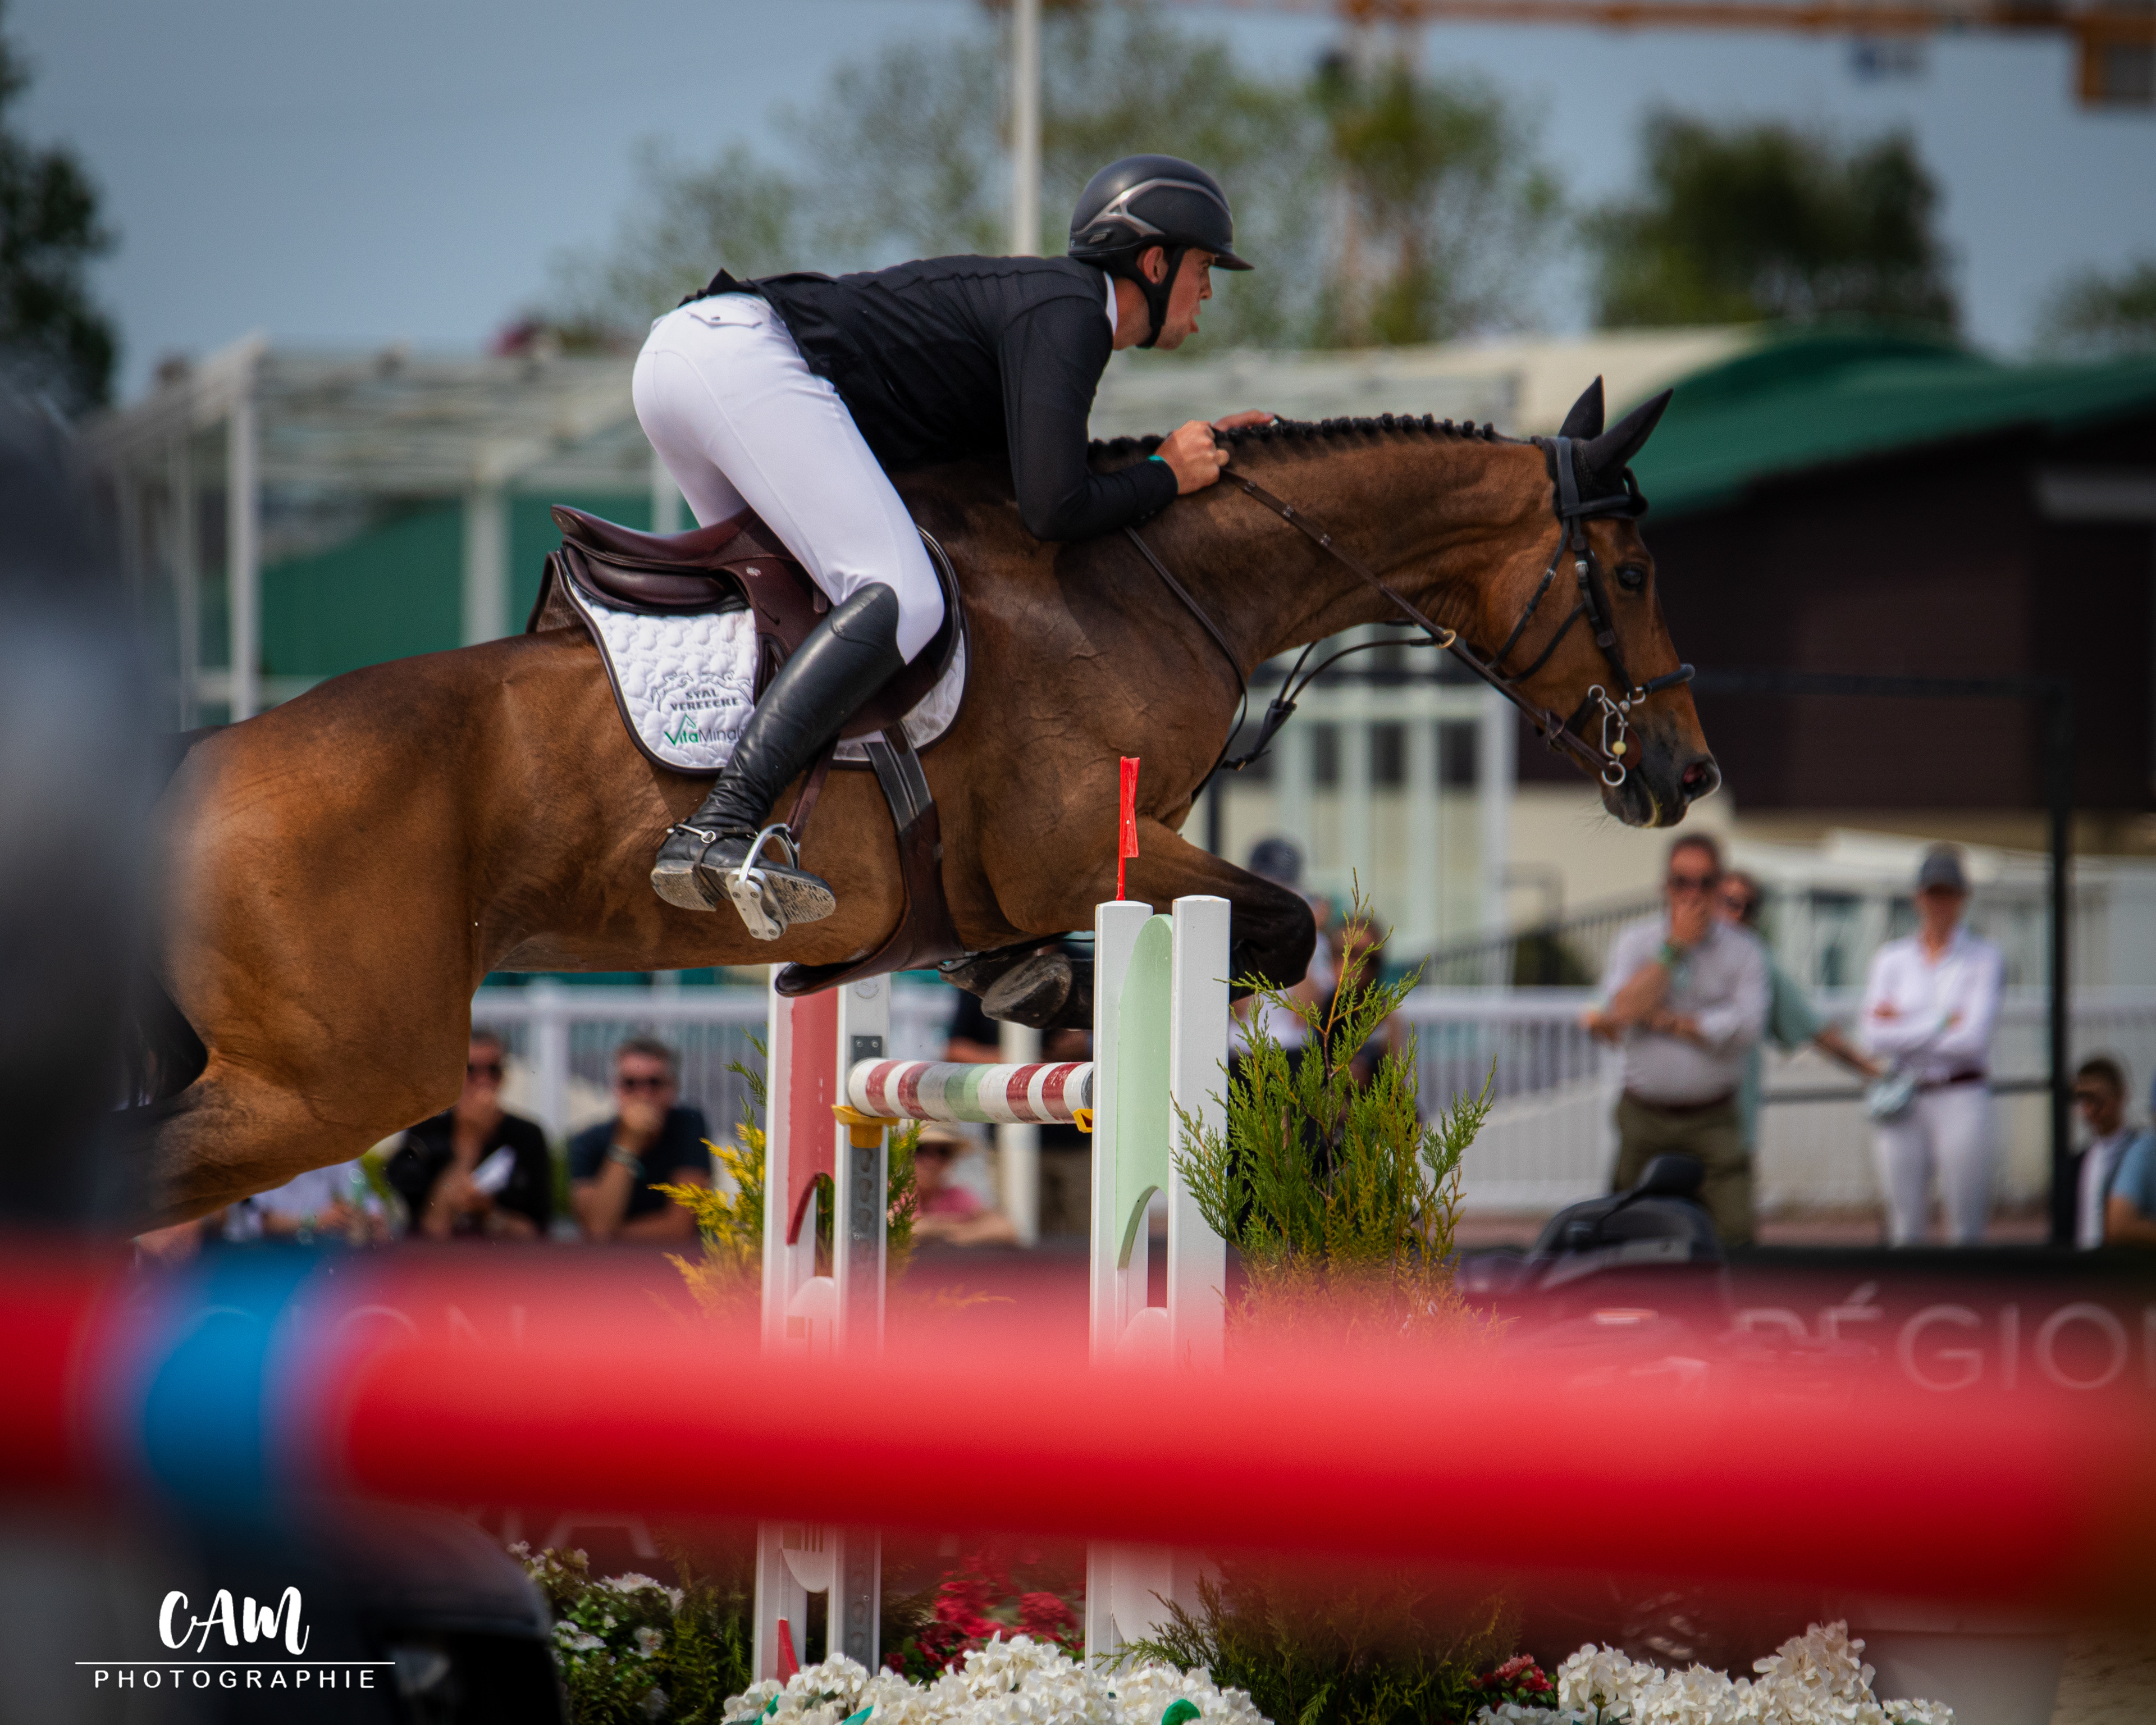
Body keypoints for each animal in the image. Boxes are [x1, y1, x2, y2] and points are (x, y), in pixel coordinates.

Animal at [129, 381, 1715, 1227]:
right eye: (1634, 574)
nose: (1689, 775)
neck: (1157, 579)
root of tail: (193, 765)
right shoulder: (1091, 848)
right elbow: (1275, 926)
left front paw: (1038, 994)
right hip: (345, 1079)